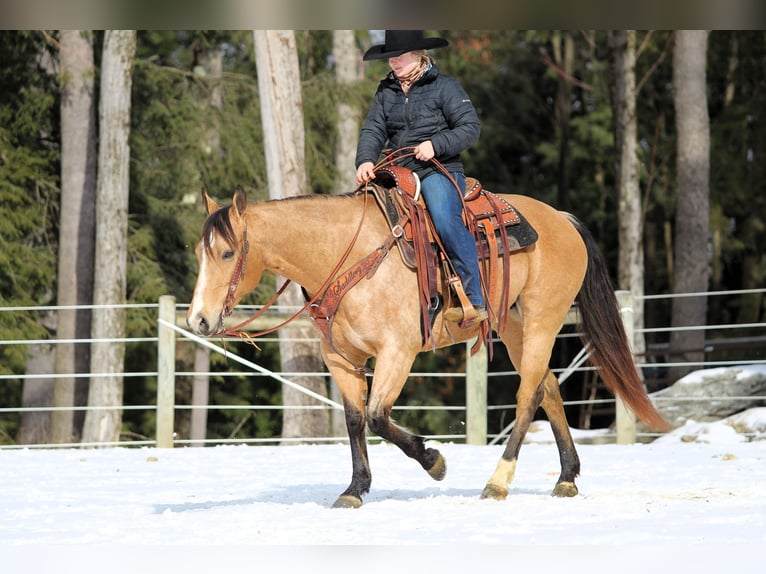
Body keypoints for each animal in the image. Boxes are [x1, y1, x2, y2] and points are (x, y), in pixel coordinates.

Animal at [184, 174, 664, 508]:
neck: (350, 256)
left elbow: (378, 417)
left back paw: (498, 482)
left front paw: (434, 461)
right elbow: (356, 421)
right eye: (198, 253)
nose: (199, 319)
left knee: (528, 395)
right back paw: (566, 478)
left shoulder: (398, 353)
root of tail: (561, 220)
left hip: (543, 320)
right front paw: (355, 489)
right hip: (513, 327)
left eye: (227, 252)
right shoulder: (340, 360)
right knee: (547, 388)